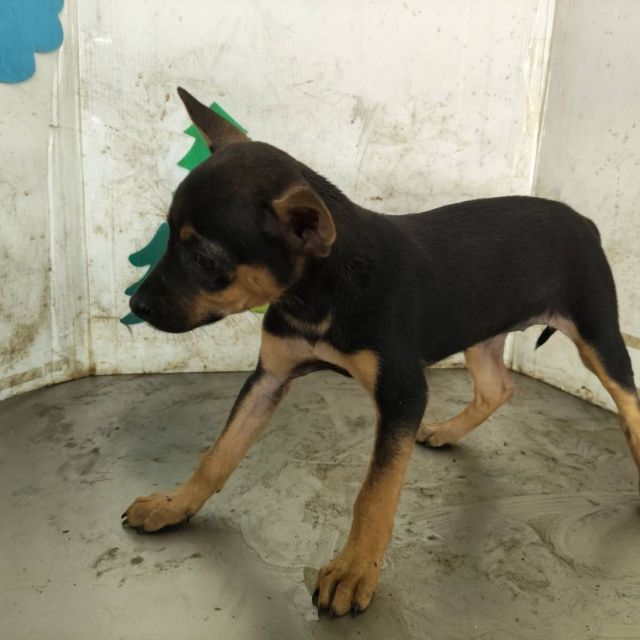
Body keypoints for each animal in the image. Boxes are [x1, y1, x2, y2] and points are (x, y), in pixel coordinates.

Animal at [123, 87, 640, 616]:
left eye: (206, 259)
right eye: (168, 236)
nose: (136, 306)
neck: (319, 293)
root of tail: (584, 220)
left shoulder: (402, 394)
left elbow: (375, 493)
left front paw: (354, 571)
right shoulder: (269, 377)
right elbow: (219, 452)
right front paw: (175, 504)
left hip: (597, 335)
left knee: (627, 400)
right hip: (480, 332)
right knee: (496, 388)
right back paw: (447, 431)